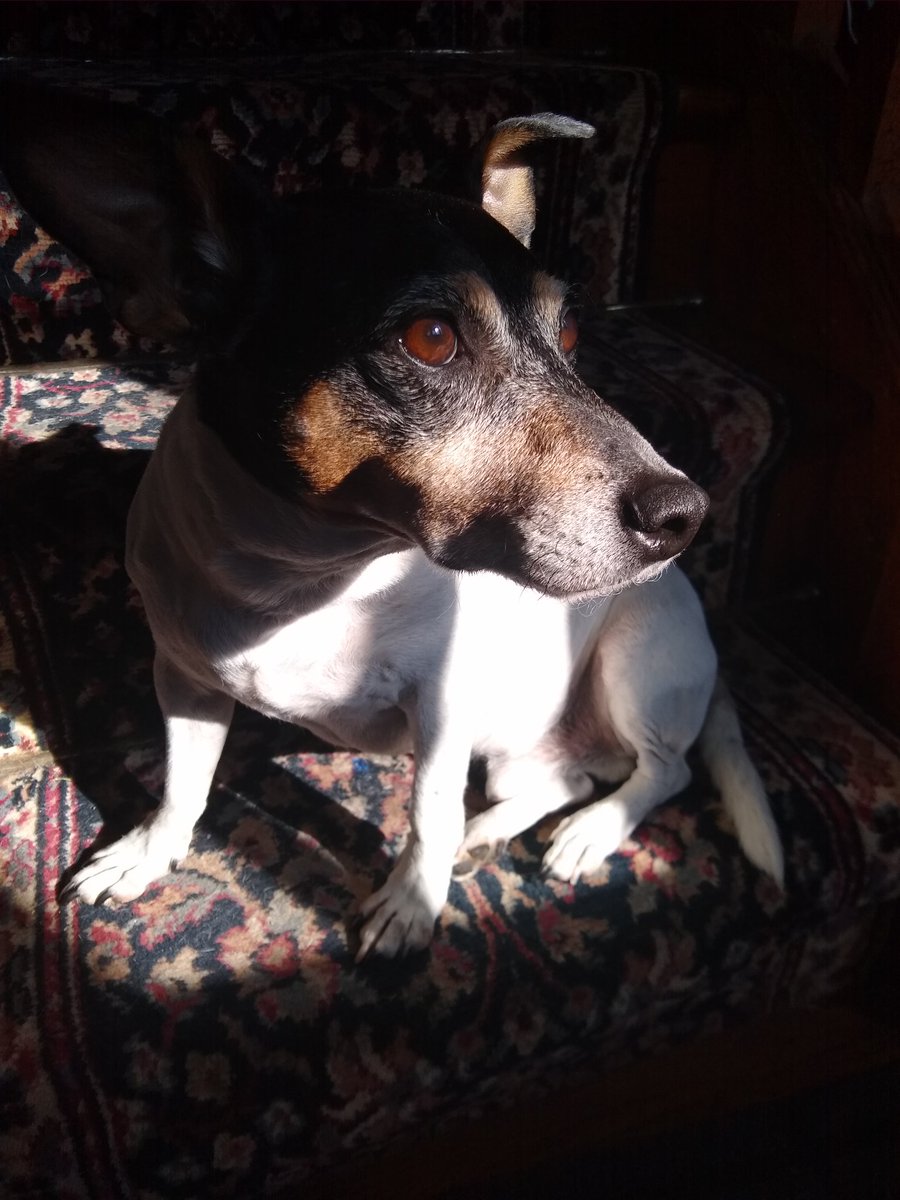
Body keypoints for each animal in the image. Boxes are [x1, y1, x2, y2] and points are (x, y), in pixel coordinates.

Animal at [1, 83, 783, 959]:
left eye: (571, 333)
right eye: (431, 338)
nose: (686, 513)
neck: (312, 574)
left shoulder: (440, 710)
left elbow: (426, 811)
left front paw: (412, 902)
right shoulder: (184, 681)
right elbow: (182, 783)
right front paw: (147, 854)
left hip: (633, 658)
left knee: (664, 772)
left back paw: (591, 833)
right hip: (513, 747)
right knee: (566, 776)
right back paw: (498, 829)